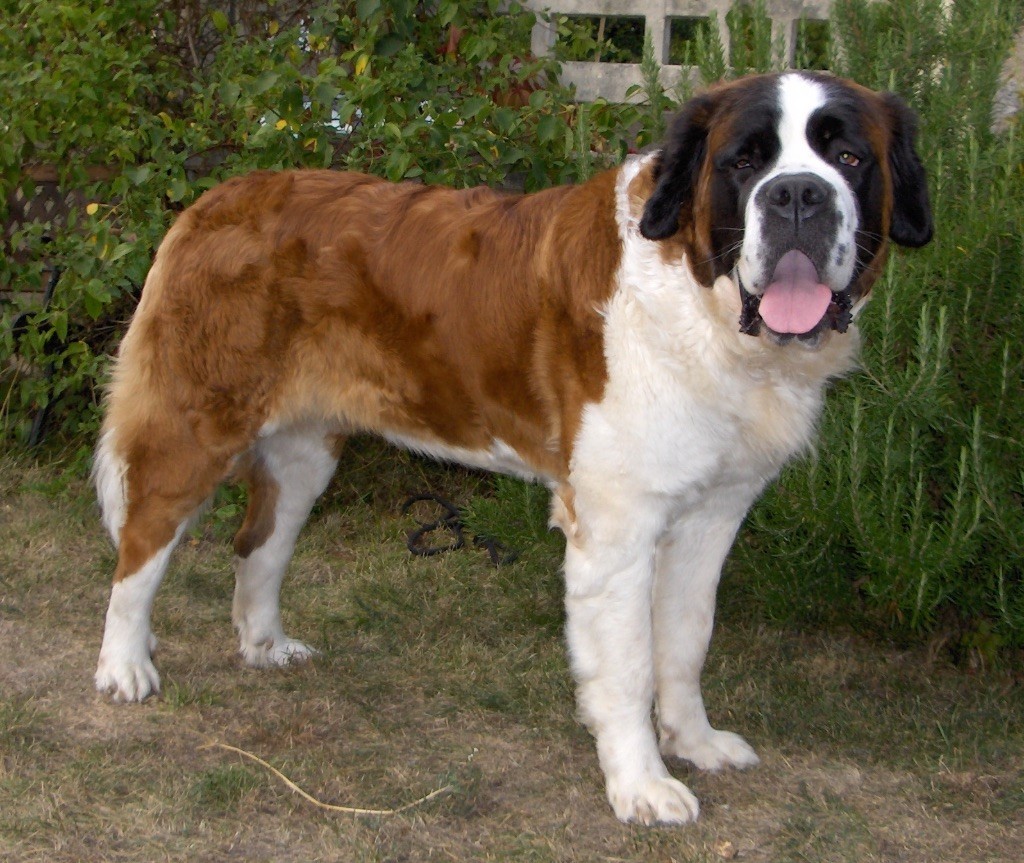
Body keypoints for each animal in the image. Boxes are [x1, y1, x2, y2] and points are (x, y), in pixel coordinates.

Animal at [94, 72, 929, 823]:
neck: (705, 304)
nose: (798, 196)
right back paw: (124, 667)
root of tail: (217, 198)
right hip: (195, 426)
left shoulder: (712, 515)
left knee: (259, 542)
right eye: (744, 162)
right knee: (141, 545)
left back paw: (264, 644)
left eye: (848, 157)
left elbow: (686, 638)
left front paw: (694, 741)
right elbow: (629, 661)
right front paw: (642, 785)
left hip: (306, 450)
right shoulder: (618, 528)